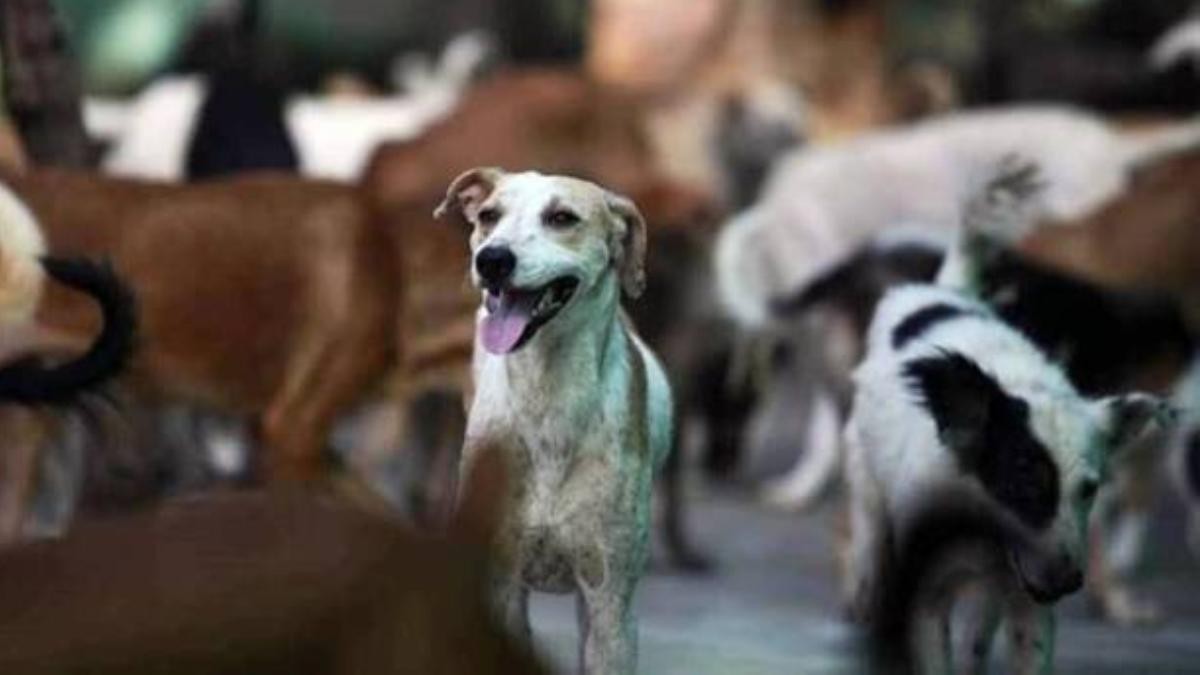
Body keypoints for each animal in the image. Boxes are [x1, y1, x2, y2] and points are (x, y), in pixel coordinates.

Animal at [436, 168, 671, 675]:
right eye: (489, 215)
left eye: (562, 218)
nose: (493, 259)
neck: (549, 402)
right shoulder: (498, 587)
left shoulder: (610, 604)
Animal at [844, 164, 1174, 674]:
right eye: (1024, 483)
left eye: (1089, 490)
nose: (1069, 582)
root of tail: (943, 291)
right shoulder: (926, 595)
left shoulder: (1026, 602)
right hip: (867, 490)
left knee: (975, 635)